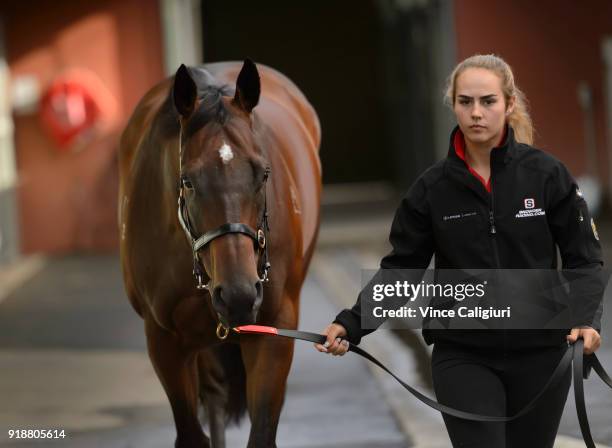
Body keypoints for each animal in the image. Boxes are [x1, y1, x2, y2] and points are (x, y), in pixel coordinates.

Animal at [117, 60, 322, 448]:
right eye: (188, 181)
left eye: (263, 174)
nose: (239, 294)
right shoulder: (164, 342)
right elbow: (191, 433)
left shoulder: (273, 331)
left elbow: (262, 432)